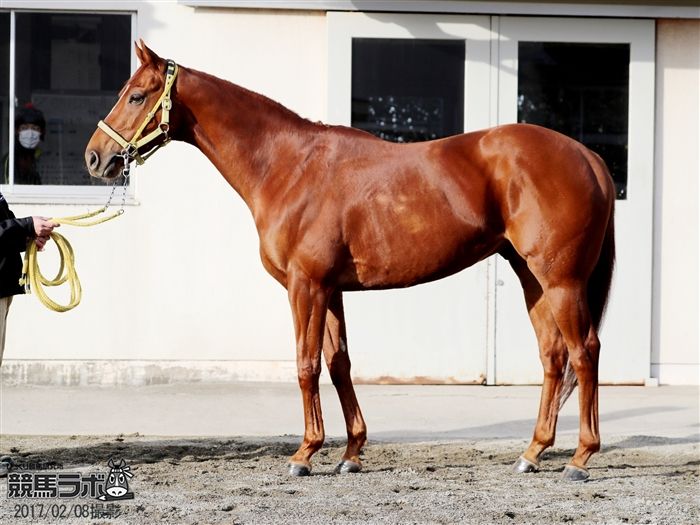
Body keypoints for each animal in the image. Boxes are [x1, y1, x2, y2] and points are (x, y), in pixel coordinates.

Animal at [85, 41, 615, 482]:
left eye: (136, 96)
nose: (95, 157)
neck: (288, 166)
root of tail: (588, 156)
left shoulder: (306, 286)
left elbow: (306, 366)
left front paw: (304, 454)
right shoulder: (332, 289)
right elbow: (339, 363)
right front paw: (351, 453)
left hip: (561, 280)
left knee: (584, 351)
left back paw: (580, 459)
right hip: (532, 277)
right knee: (553, 355)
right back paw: (532, 453)